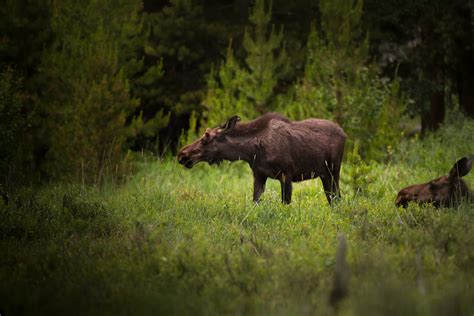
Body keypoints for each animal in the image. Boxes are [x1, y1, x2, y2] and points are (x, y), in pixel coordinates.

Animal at [176, 112, 346, 204]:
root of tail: (344, 133)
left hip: (334, 170)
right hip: (324, 174)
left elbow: (285, 203)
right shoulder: (259, 175)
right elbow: (255, 201)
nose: (182, 155)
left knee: (337, 197)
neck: (251, 152)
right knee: (332, 198)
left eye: (205, 138)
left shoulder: (286, 174)